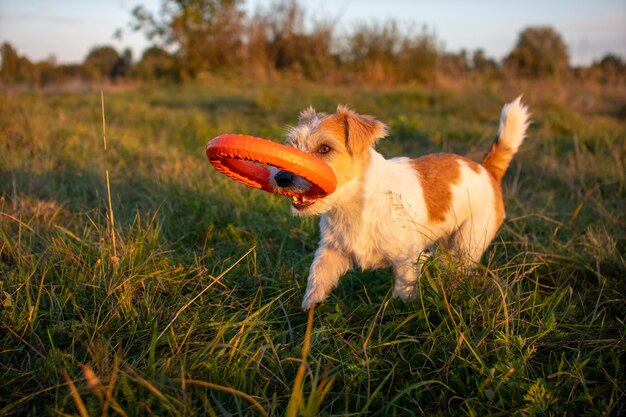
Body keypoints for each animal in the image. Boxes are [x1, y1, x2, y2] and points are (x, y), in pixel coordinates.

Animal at [270, 97, 528, 308]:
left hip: (468, 244)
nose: (281, 177)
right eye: (291, 146)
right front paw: (309, 314)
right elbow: (317, 278)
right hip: (444, 245)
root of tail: (486, 169)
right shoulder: (331, 251)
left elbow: (403, 293)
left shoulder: (406, 261)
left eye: (325, 148)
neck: (355, 204)